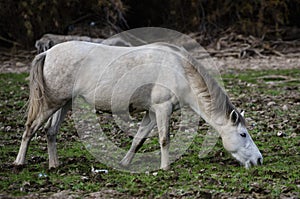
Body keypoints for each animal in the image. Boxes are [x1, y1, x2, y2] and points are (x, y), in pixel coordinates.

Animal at [14, 40, 262, 169]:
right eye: (243, 134)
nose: (259, 159)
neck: (180, 70)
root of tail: (48, 51)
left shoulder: (151, 113)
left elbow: (139, 139)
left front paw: (124, 163)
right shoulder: (162, 109)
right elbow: (164, 139)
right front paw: (165, 167)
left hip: (63, 104)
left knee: (50, 132)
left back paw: (54, 165)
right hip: (50, 103)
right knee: (30, 128)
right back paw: (19, 162)